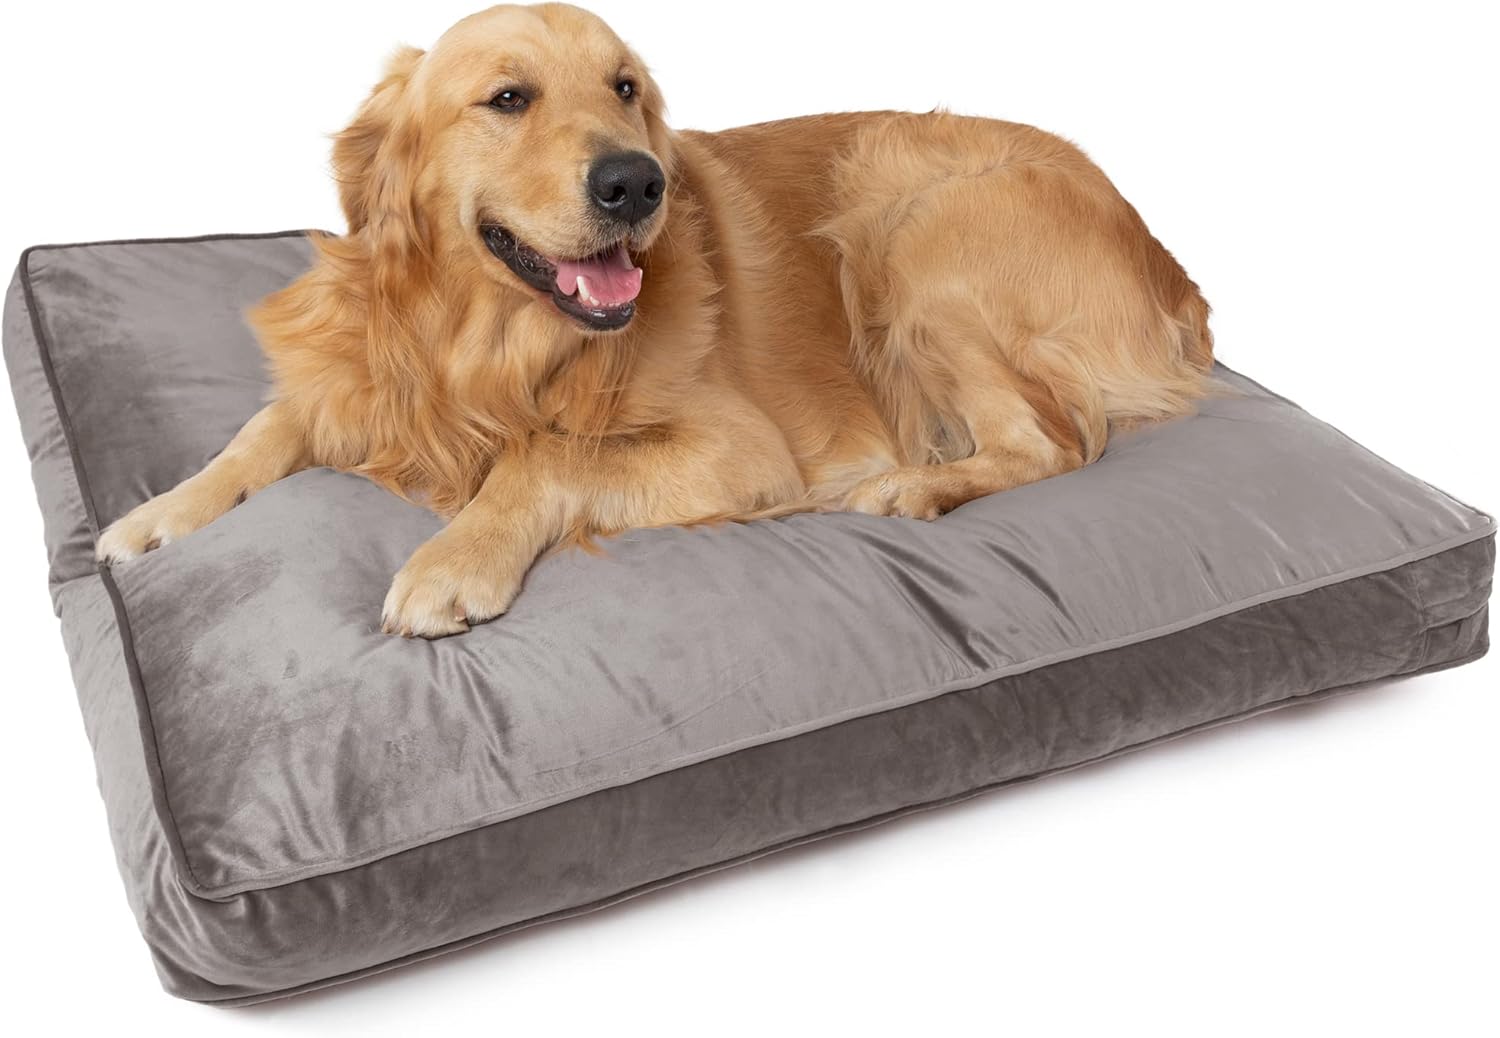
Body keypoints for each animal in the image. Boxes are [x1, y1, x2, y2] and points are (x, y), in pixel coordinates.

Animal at [96, 2, 1214, 638]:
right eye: (508, 98)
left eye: (626, 88)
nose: (638, 182)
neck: (491, 338)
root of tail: (1170, 261)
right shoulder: (362, 374)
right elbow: (263, 427)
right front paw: (158, 515)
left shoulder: (743, 447)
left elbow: (543, 456)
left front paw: (453, 560)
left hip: (911, 231)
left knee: (1048, 444)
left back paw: (915, 487)